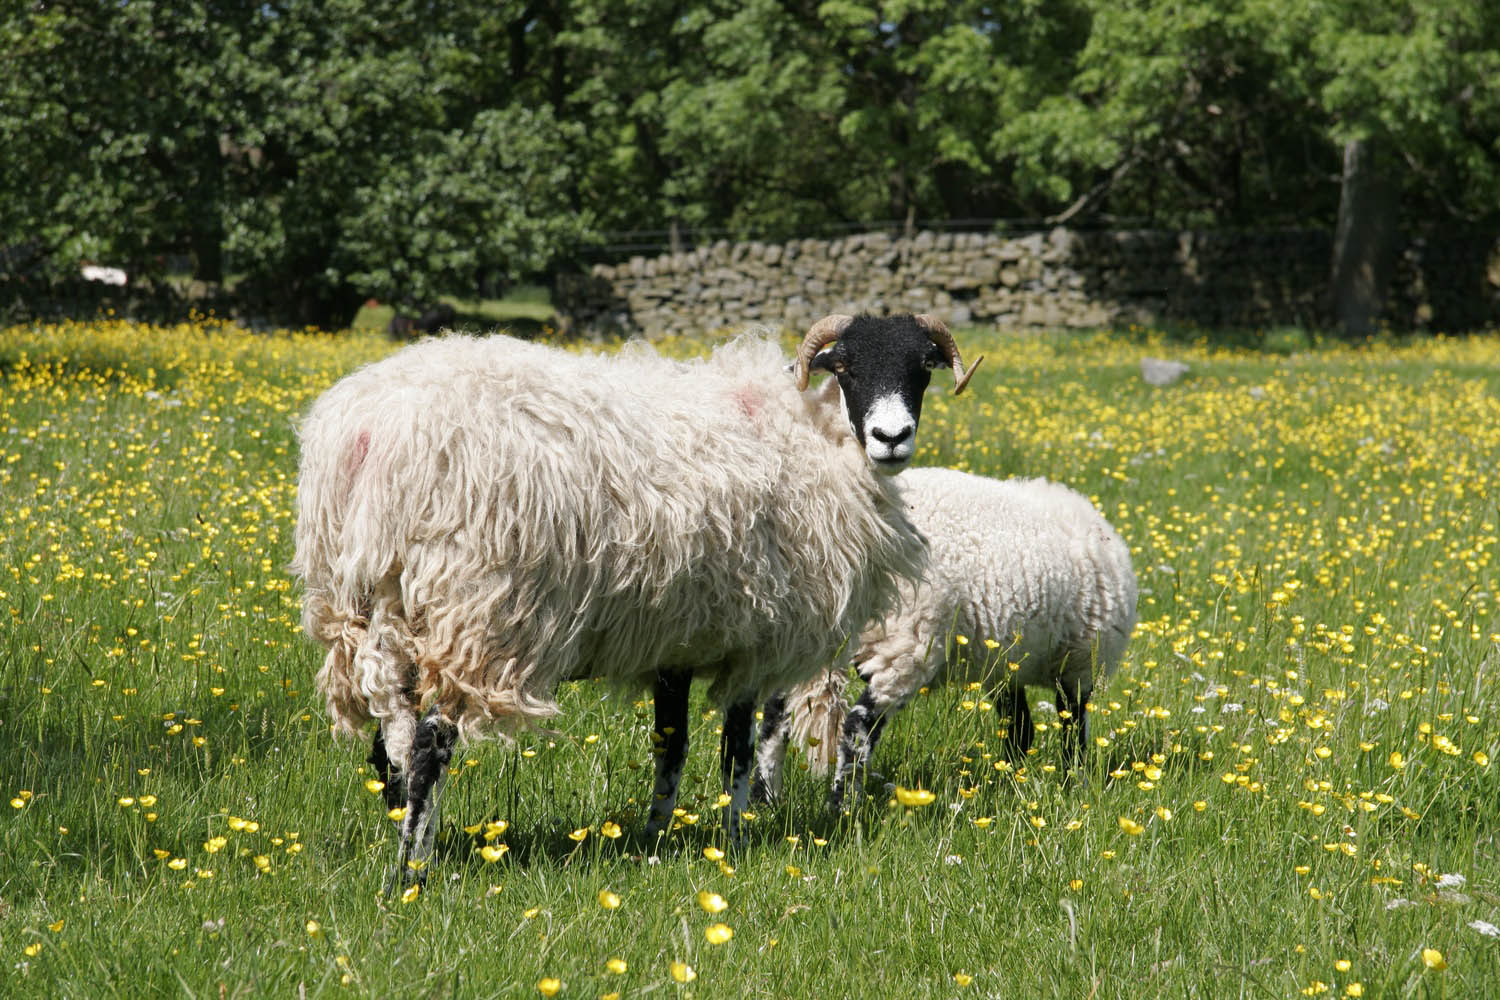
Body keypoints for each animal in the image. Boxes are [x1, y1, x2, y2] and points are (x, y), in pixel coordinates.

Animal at [292, 313, 984, 881]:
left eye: (920, 367)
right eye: (846, 367)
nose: (891, 437)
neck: (817, 437)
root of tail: (367, 436)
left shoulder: (678, 638)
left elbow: (669, 745)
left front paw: (656, 837)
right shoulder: (751, 639)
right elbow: (736, 752)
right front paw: (734, 839)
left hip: (372, 608)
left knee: (391, 740)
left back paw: (406, 838)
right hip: (475, 612)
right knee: (431, 743)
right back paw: (412, 870)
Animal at [756, 467, 1128, 803]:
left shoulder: (1005, 667)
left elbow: (1019, 728)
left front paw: (1010, 777)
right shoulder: (1077, 665)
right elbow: (1071, 733)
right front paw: (1073, 785)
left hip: (809, 629)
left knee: (774, 717)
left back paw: (765, 800)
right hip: (908, 638)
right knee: (858, 726)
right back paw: (844, 806)